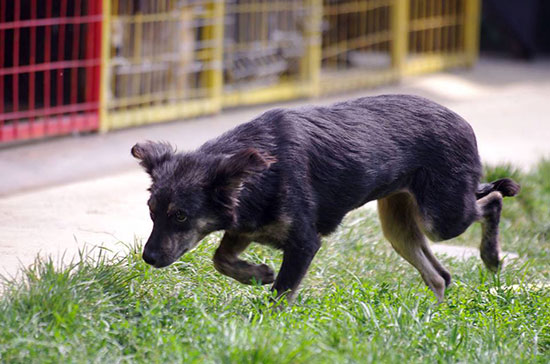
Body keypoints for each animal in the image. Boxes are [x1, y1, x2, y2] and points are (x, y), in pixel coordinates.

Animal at [132, 94, 520, 302]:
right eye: (151, 212)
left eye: (180, 215)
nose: (148, 258)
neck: (259, 170)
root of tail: (464, 122)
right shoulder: (244, 225)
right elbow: (219, 258)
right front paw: (256, 274)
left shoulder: (304, 243)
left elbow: (279, 295)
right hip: (399, 226)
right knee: (440, 276)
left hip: (441, 216)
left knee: (493, 201)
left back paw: (491, 257)